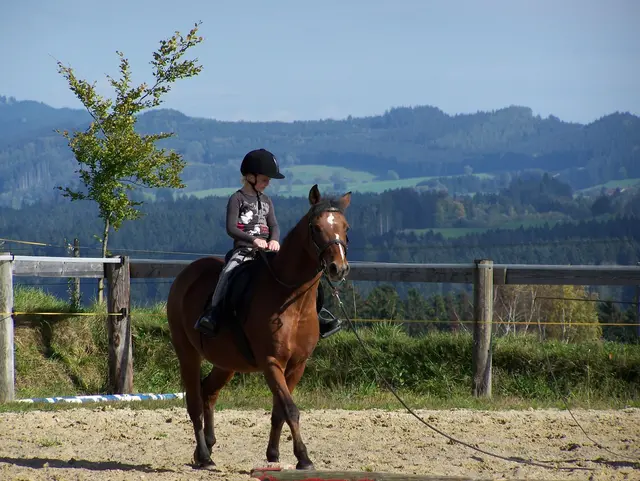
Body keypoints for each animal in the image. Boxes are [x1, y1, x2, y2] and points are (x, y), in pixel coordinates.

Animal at [166, 184, 350, 468]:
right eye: (316, 228)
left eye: (345, 227)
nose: (338, 268)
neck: (291, 300)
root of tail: (185, 276)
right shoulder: (271, 362)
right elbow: (290, 409)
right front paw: (303, 457)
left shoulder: (297, 365)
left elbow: (279, 411)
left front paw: (274, 455)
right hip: (187, 352)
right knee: (195, 401)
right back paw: (205, 456)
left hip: (226, 362)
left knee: (208, 392)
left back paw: (206, 447)